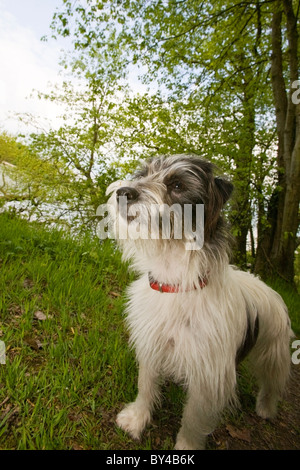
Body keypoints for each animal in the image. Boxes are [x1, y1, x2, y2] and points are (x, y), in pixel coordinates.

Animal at [105, 156, 290, 450]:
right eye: (143, 174)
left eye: (178, 185)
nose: (124, 192)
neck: (176, 284)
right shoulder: (151, 345)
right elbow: (145, 386)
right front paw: (136, 419)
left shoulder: (208, 375)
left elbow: (193, 418)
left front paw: (186, 446)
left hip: (274, 352)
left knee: (272, 383)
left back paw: (266, 408)